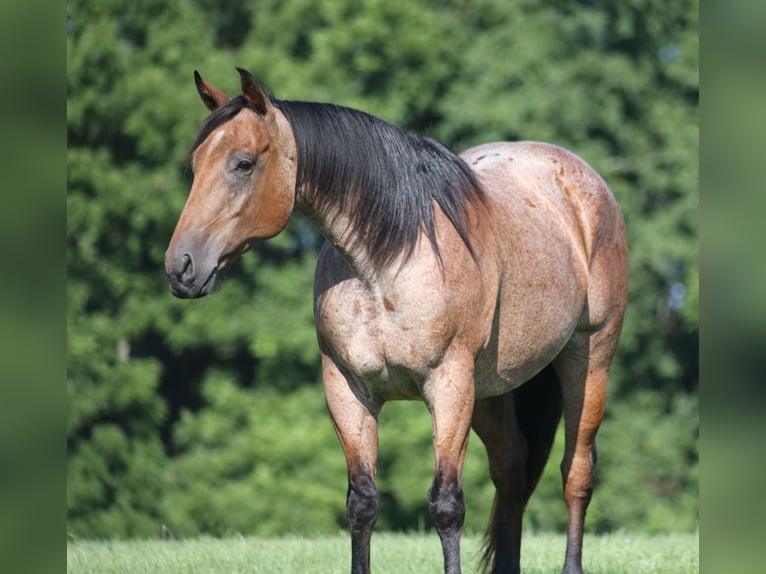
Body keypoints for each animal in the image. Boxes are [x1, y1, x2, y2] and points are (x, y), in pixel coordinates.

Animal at [165, 67, 628, 574]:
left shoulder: (448, 386)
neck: (385, 262)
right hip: (492, 389)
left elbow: (446, 505)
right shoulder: (348, 390)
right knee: (511, 471)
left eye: (243, 164)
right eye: (197, 164)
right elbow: (362, 502)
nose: (180, 267)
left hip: (587, 361)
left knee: (576, 472)